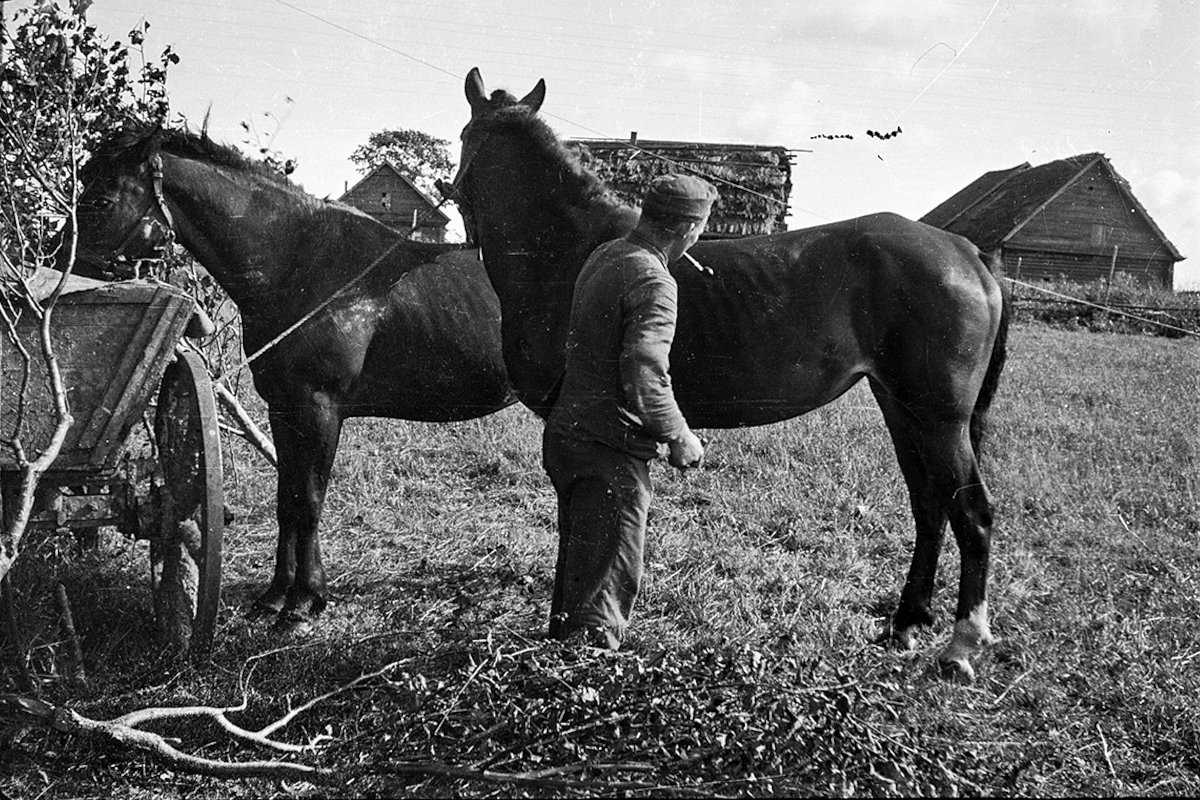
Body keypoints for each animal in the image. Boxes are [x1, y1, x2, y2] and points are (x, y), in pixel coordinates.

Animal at [70, 122, 511, 628]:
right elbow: (288, 501)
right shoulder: (282, 408)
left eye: (101, 200)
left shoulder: (320, 410)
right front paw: (279, 595)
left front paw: (304, 601)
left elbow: (310, 501)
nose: (62, 261)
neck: (304, 267)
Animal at [446, 70, 1008, 681]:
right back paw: (905, 625)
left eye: (462, 136)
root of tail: (967, 252)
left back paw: (960, 648)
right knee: (930, 507)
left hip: (937, 417)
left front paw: (568, 629)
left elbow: (582, 519)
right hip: (903, 410)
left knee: (971, 513)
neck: (574, 251)